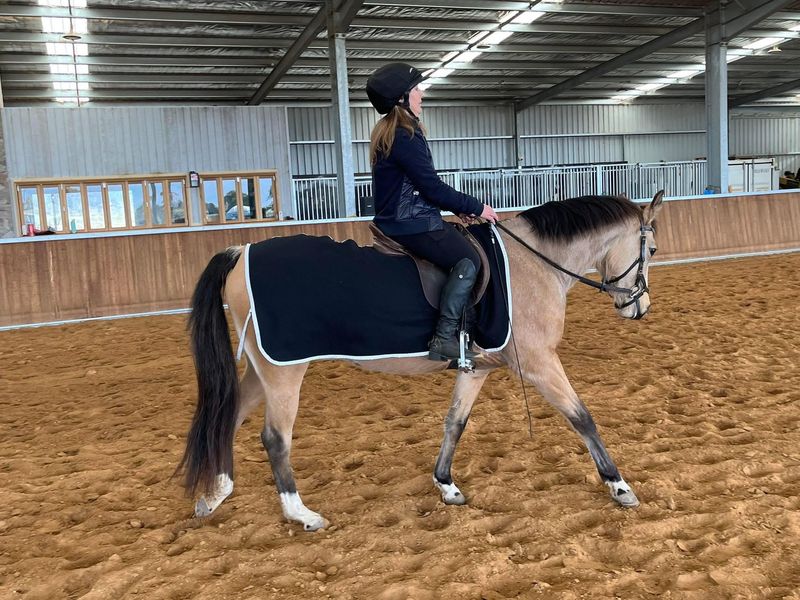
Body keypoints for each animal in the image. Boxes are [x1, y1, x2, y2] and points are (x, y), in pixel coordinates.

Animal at [177, 191, 664, 531]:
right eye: (653, 250)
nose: (640, 308)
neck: (533, 263)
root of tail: (240, 253)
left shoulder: (478, 367)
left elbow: (455, 423)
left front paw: (446, 484)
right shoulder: (539, 363)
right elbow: (582, 418)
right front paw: (619, 486)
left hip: (264, 368)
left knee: (229, 416)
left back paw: (214, 494)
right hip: (284, 372)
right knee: (275, 439)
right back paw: (302, 514)